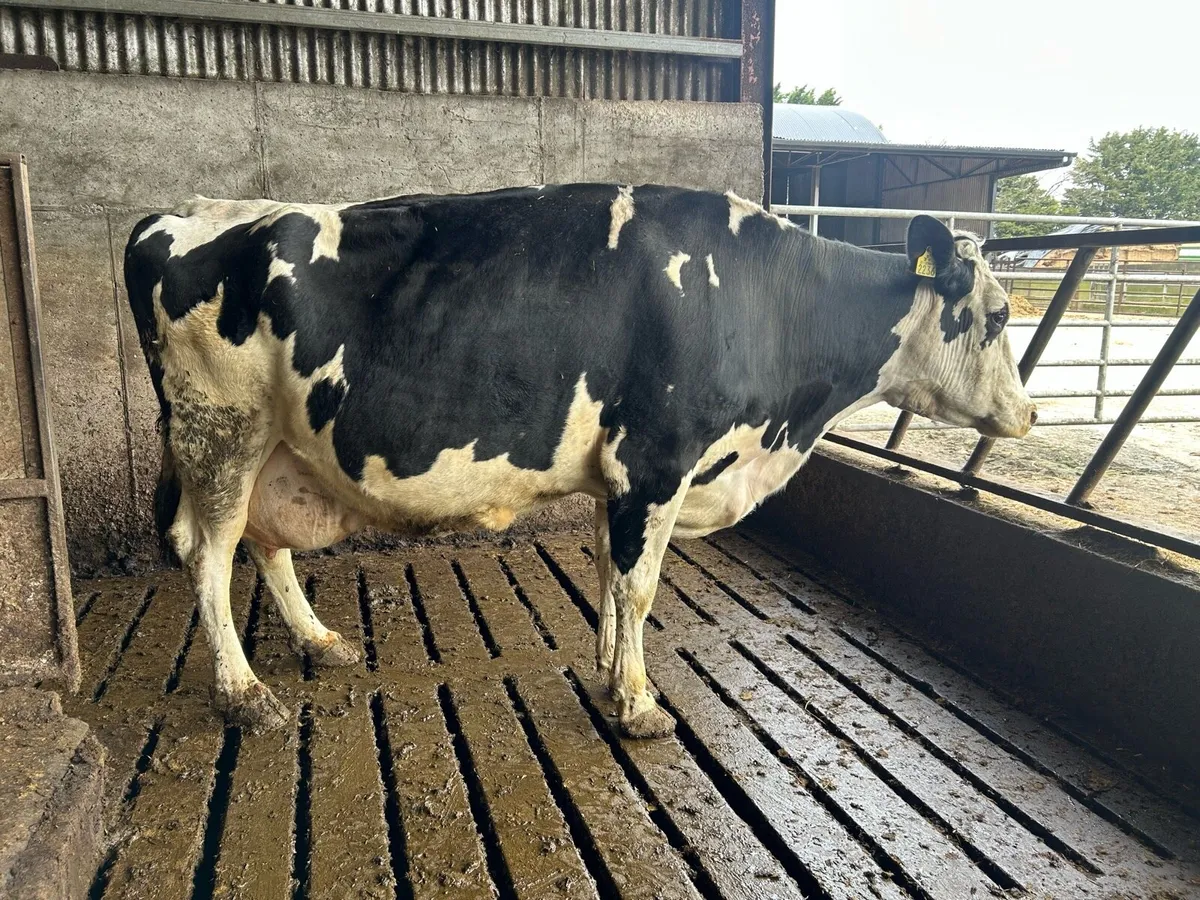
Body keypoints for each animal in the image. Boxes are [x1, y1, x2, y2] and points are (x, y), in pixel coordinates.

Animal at [124, 184, 1035, 738]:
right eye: (996, 315)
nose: (1028, 414)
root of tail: (177, 213)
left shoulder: (619, 476)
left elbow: (606, 571)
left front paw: (606, 669)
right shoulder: (658, 460)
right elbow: (638, 586)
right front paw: (636, 703)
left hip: (272, 446)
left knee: (260, 541)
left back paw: (318, 640)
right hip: (220, 429)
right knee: (207, 551)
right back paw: (243, 693)